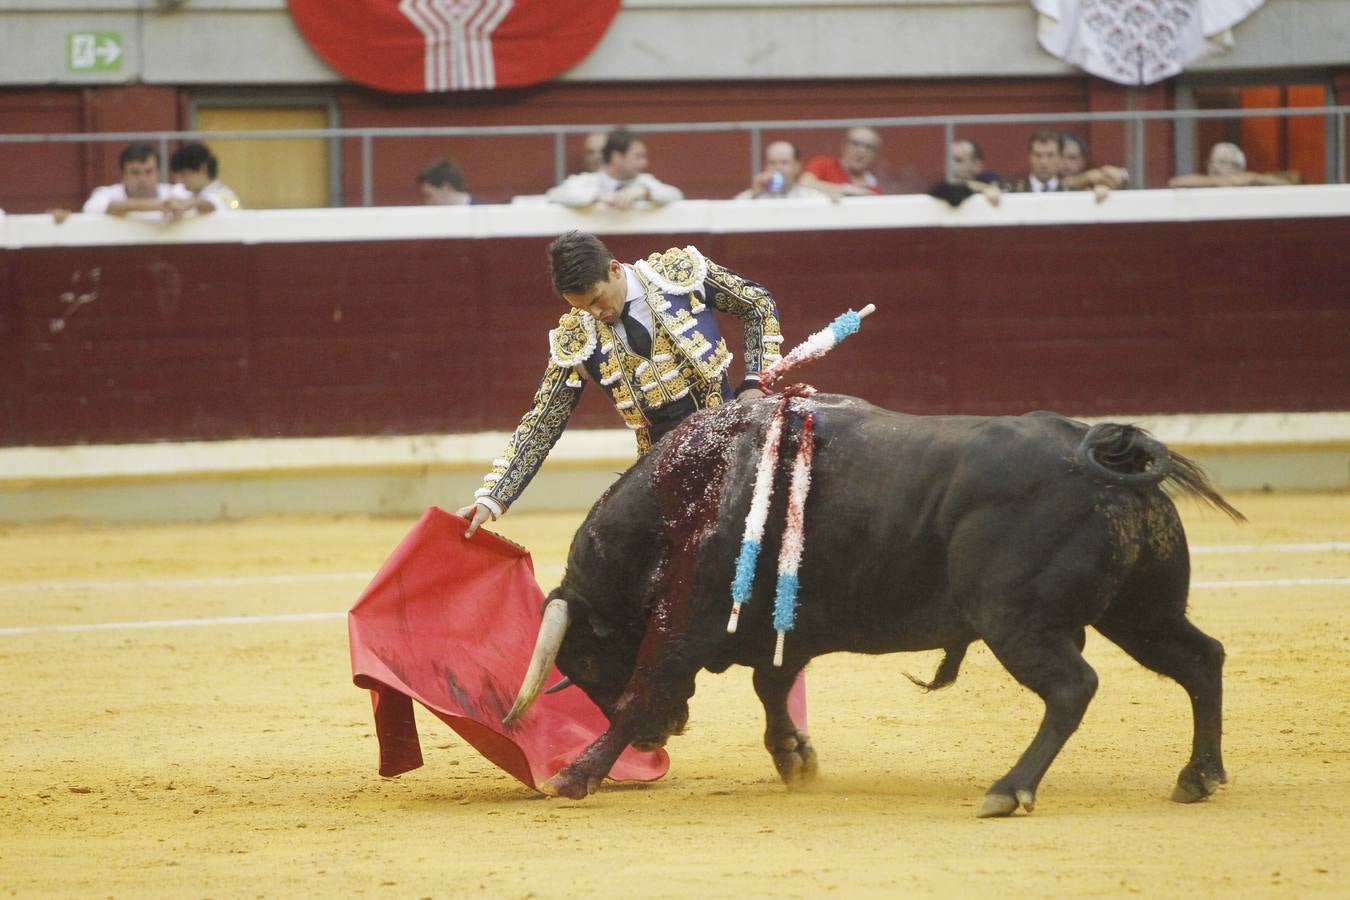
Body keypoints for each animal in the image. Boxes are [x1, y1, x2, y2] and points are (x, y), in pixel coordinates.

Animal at [504, 394, 1242, 814]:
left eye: (586, 662)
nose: (663, 737)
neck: (682, 502)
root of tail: (1107, 455)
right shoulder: (781, 628)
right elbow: (772, 684)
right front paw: (794, 758)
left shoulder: (682, 623)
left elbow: (646, 686)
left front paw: (576, 777)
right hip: (1142, 613)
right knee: (1201, 659)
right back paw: (1199, 776)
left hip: (1018, 620)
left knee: (1072, 687)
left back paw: (1008, 789)